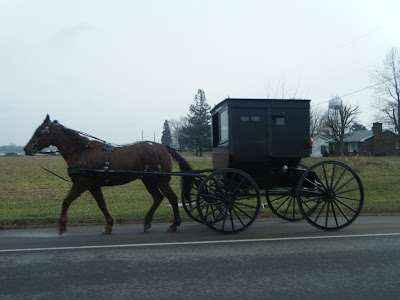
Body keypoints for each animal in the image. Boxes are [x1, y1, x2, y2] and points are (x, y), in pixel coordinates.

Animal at [23, 115, 194, 234]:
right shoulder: (93, 185)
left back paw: (174, 224)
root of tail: (164, 147)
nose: (26, 149)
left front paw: (62, 225)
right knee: (158, 198)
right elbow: (102, 204)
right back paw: (147, 222)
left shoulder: (81, 183)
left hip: (161, 180)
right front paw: (109, 224)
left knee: (172, 198)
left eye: (38, 131)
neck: (81, 152)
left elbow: (66, 201)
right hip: (148, 180)